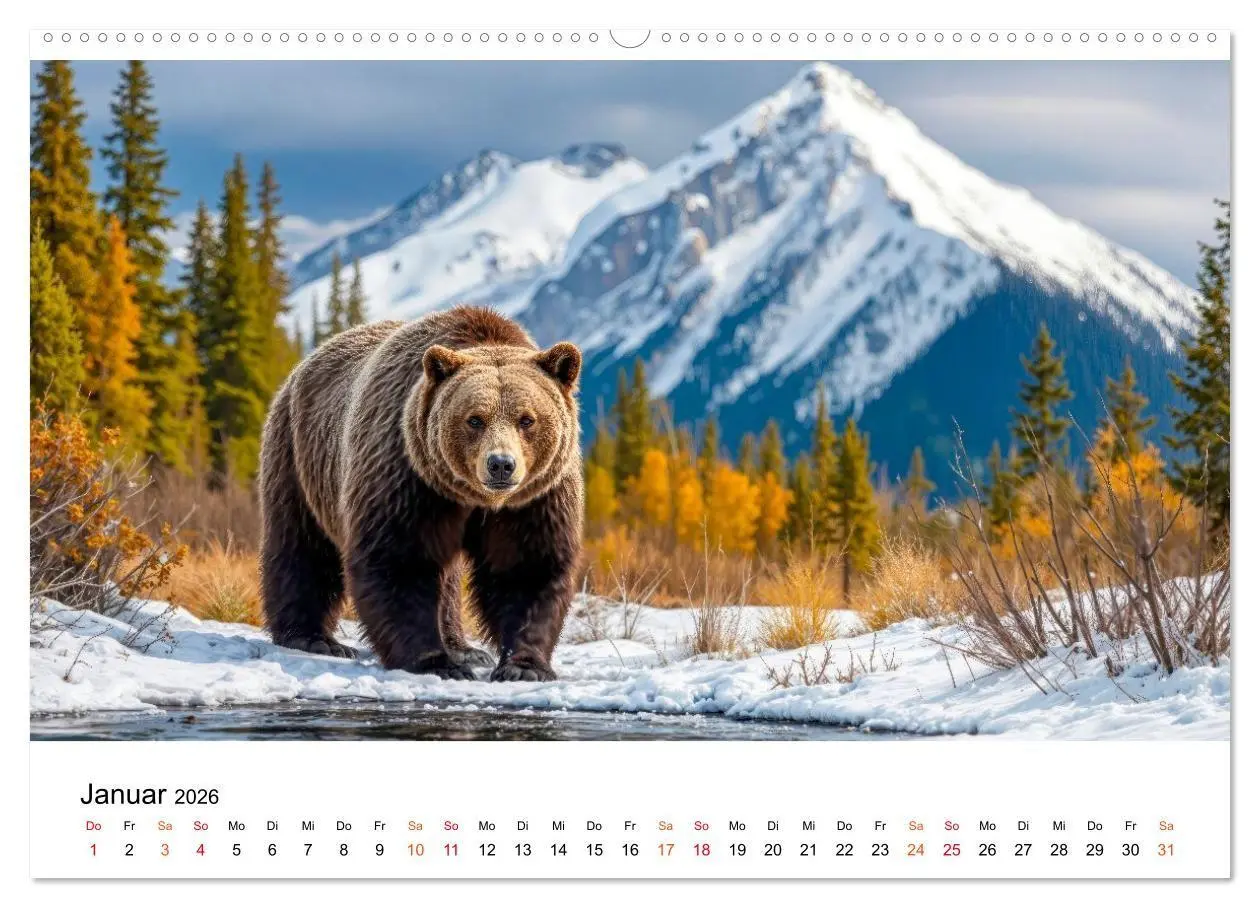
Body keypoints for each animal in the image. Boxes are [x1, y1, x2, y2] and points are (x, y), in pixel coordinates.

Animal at [257, 306, 584, 682]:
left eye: (526, 419)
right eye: (475, 419)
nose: (501, 465)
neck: (473, 499)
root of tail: (306, 362)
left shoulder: (534, 498)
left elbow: (528, 568)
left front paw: (523, 666)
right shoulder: (407, 476)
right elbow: (400, 561)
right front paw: (436, 662)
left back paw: (465, 648)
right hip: (299, 456)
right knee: (302, 546)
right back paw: (312, 638)